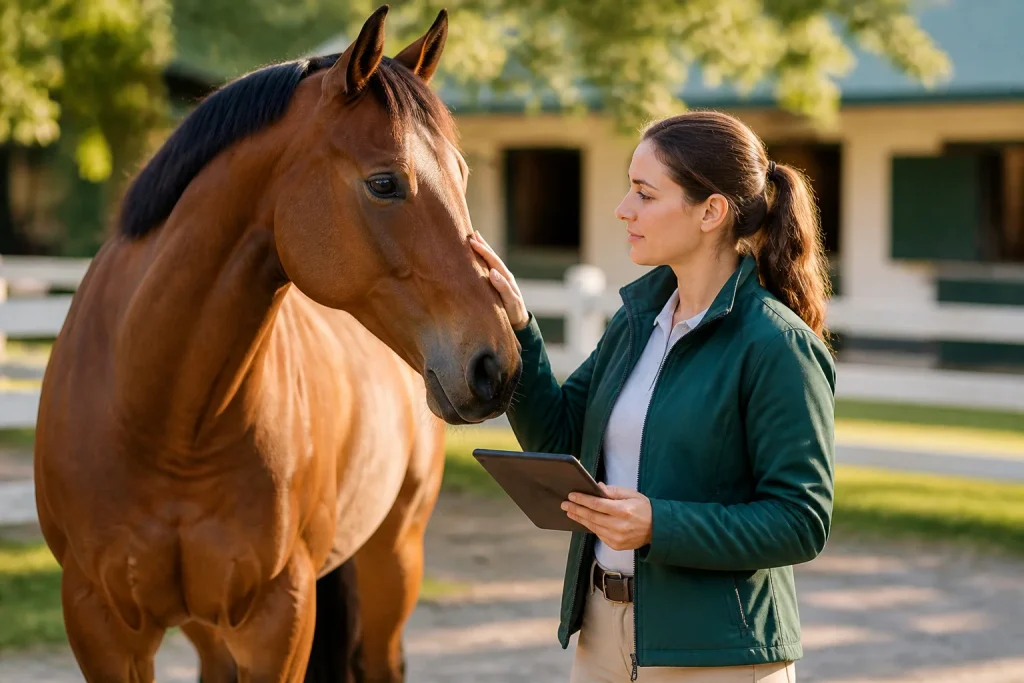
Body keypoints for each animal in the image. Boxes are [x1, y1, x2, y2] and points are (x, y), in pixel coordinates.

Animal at [32, 6, 522, 682]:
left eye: (462, 175)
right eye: (384, 183)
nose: (495, 365)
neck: (163, 425)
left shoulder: (279, 617)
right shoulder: (101, 625)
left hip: (393, 557)